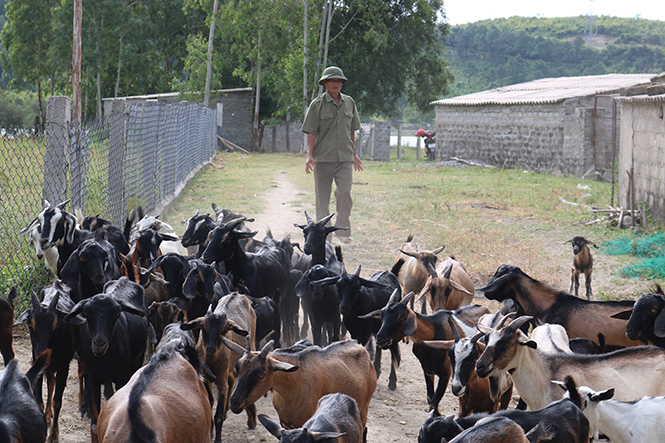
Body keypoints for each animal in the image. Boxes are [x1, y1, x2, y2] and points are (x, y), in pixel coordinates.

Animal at [64, 278, 154, 440]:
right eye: (86, 313)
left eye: (117, 313)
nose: (99, 343)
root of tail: (124, 279)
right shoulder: (93, 378)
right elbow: (95, 424)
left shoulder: (122, 377)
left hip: (137, 358)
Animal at [226, 338, 376, 432]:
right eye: (238, 367)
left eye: (262, 374)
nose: (234, 402)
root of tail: (362, 348)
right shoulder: (285, 424)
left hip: (364, 407)